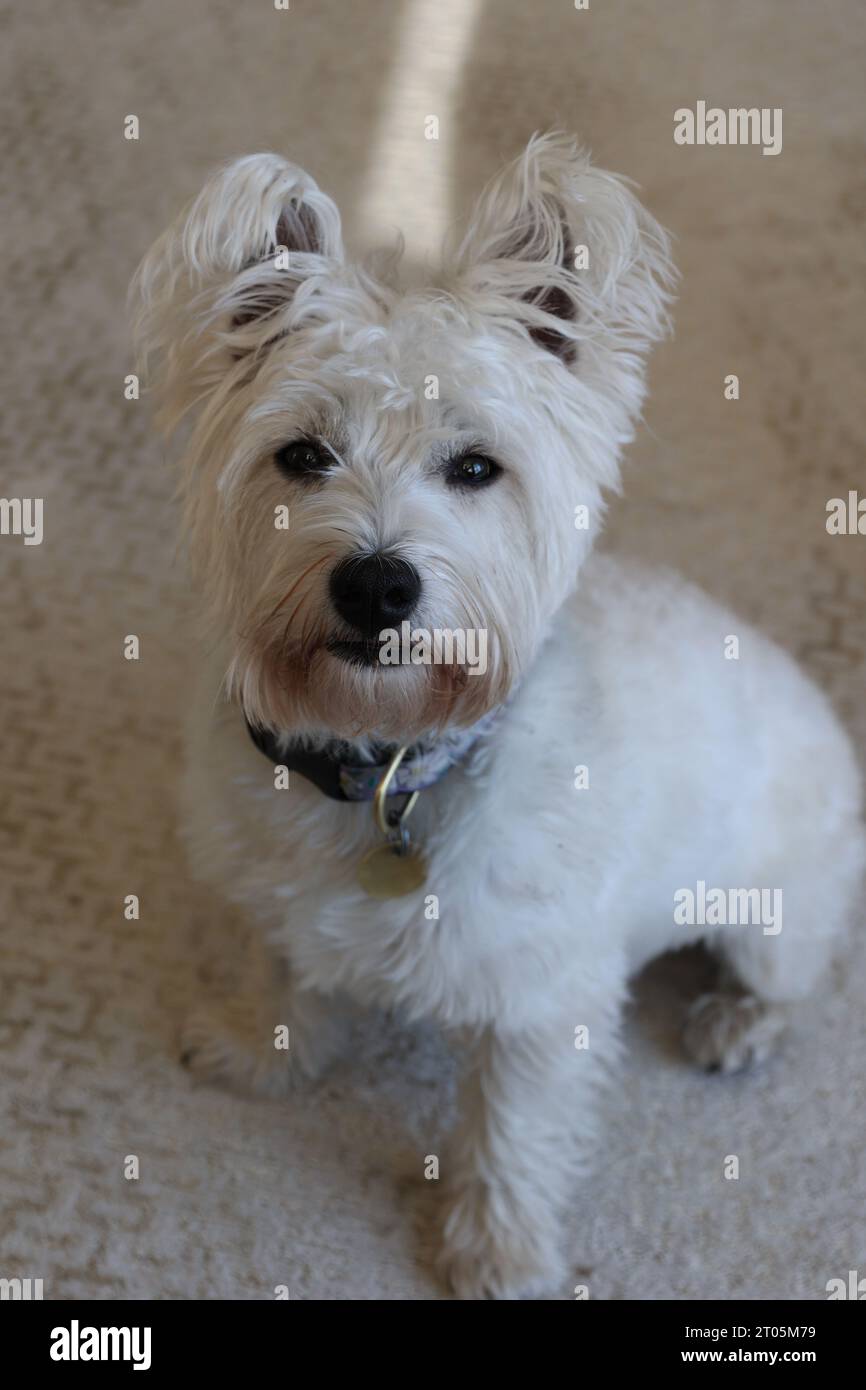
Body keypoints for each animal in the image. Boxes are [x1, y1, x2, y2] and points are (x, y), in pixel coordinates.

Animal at [132, 135, 861, 1295]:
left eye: (476, 467)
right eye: (301, 455)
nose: (377, 584)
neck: (389, 764)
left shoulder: (542, 1000)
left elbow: (512, 1132)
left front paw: (497, 1251)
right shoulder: (277, 891)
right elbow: (282, 971)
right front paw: (259, 1049)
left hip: (772, 914)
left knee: (801, 978)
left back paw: (739, 1022)